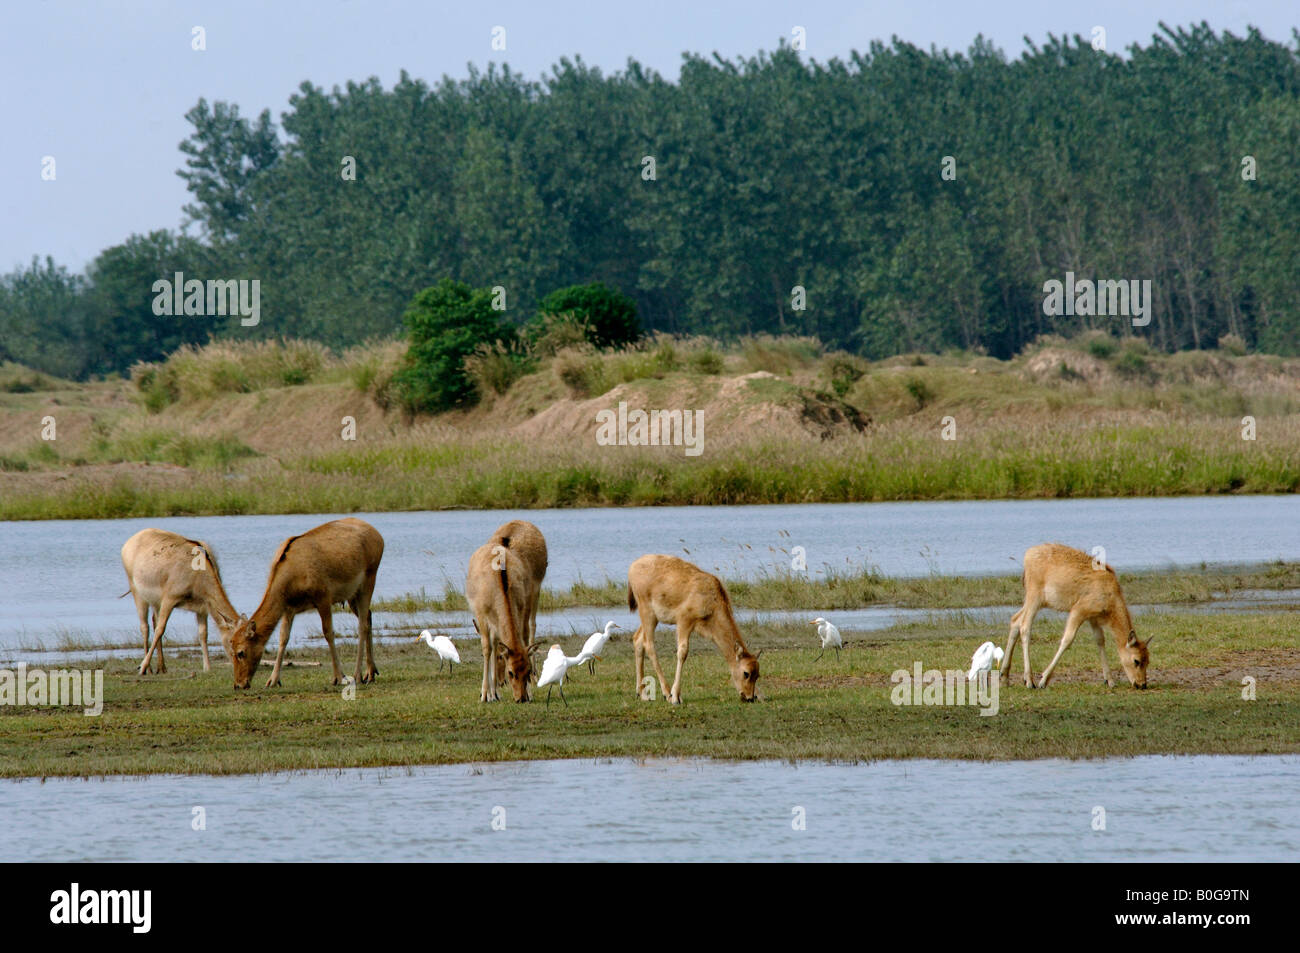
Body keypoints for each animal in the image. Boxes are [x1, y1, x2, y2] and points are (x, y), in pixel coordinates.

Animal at [122, 527, 241, 676]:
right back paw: (147, 668)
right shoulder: (170, 597)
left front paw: (207, 667)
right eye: (232, 640)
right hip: (136, 590)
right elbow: (160, 629)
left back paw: (162, 667)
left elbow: (203, 634)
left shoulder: (203, 606)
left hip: (155, 600)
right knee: (145, 627)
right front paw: (142, 666)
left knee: (154, 620)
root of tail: (126, 544)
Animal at [228, 517, 382, 686]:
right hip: (351, 594)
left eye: (241, 652)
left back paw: (357, 675)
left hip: (369, 579)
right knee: (368, 616)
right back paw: (370, 673)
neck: (291, 580)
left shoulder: (323, 596)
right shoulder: (289, 607)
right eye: (230, 647)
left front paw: (338, 677)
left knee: (362, 625)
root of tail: (379, 536)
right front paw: (273, 680)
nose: (239, 684)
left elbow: (328, 633)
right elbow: (283, 637)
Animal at [465, 538, 540, 702]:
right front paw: (484, 695)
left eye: (528, 670)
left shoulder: (520, 608)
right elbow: (486, 649)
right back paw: (491, 694)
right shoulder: (481, 614)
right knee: (490, 645)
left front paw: (530, 693)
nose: (521, 698)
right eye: (510, 672)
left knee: (495, 642)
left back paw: (496, 693)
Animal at [624, 553, 759, 702]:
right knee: (649, 645)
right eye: (746, 673)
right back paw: (666, 693)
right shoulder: (684, 621)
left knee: (637, 639)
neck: (711, 602)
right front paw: (676, 696)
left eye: (757, 674)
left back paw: (642, 693)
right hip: (647, 612)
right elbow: (682, 652)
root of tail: (632, 567)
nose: (749, 697)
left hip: (652, 617)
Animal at [998, 538, 1154, 686]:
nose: (1141, 684)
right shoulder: (1079, 610)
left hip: (1039, 601)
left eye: (1148, 660)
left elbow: (1100, 640)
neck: (1111, 598)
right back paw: (1029, 681)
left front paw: (1109, 680)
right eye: (1136, 660)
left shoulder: (1093, 617)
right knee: (1025, 626)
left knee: (1015, 620)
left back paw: (1004, 678)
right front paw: (1044, 679)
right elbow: (1067, 639)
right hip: (1034, 597)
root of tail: (1027, 555)